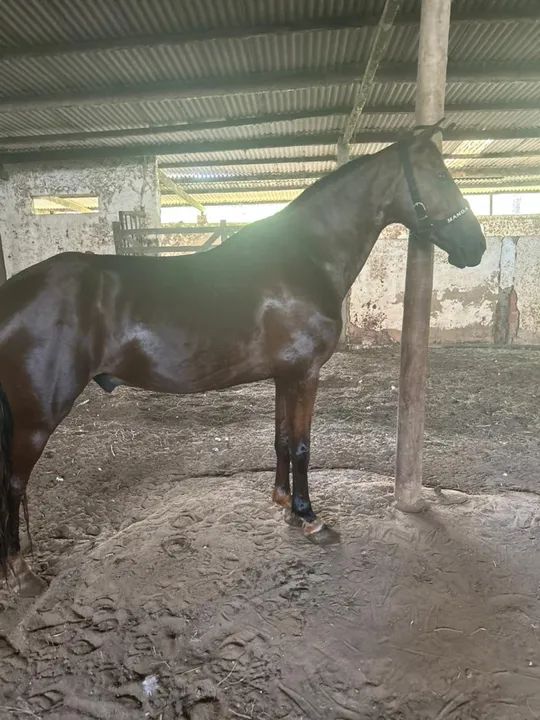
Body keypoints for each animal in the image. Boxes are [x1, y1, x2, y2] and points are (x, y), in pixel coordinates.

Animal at [0, 125, 486, 596]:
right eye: (438, 174)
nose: (476, 246)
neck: (302, 259)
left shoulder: (284, 376)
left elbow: (283, 439)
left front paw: (285, 505)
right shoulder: (306, 373)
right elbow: (304, 446)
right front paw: (311, 518)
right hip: (37, 419)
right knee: (13, 483)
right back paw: (22, 575)